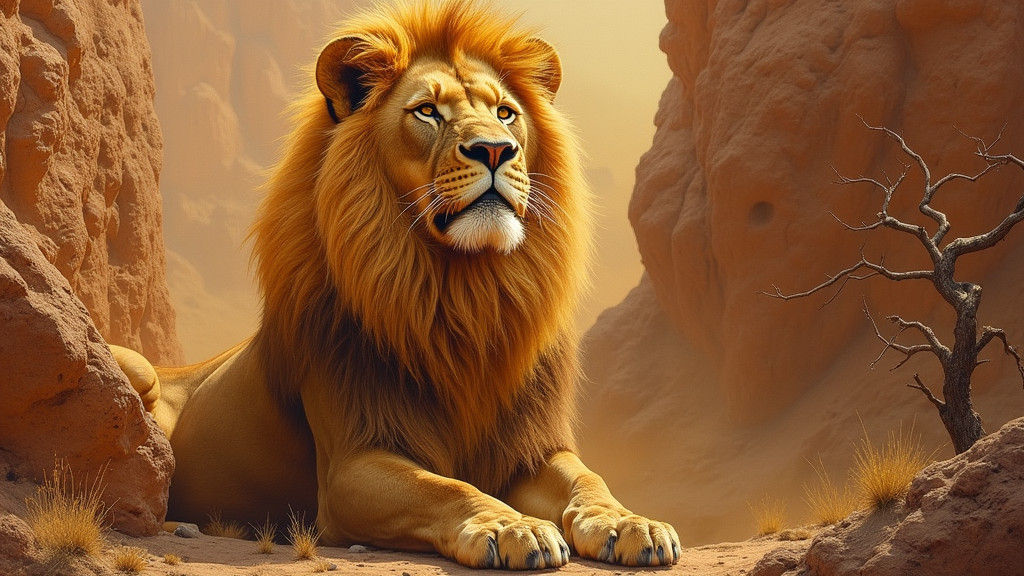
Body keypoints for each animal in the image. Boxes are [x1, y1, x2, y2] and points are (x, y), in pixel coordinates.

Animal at [112, 0, 679, 569]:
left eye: (505, 113)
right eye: (427, 111)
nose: (497, 150)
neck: (466, 290)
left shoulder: (532, 448)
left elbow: (590, 479)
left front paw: (630, 523)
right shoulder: (351, 466)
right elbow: (449, 488)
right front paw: (511, 526)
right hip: (140, 370)